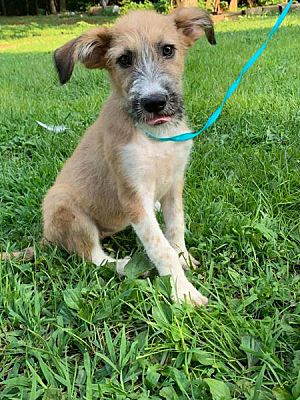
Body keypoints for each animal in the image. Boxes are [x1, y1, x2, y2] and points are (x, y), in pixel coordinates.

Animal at [42, 7, 216, 304]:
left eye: (168, 50)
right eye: (124, 59)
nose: (154, 102)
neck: (155, 136)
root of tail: (44, 238)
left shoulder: (174, 185)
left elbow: (175, 228)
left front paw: (184, 259)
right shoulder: (134, 196)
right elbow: (160, 248)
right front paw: (183, 293)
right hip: (65, 208)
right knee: (94, 258)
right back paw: (126, 265)